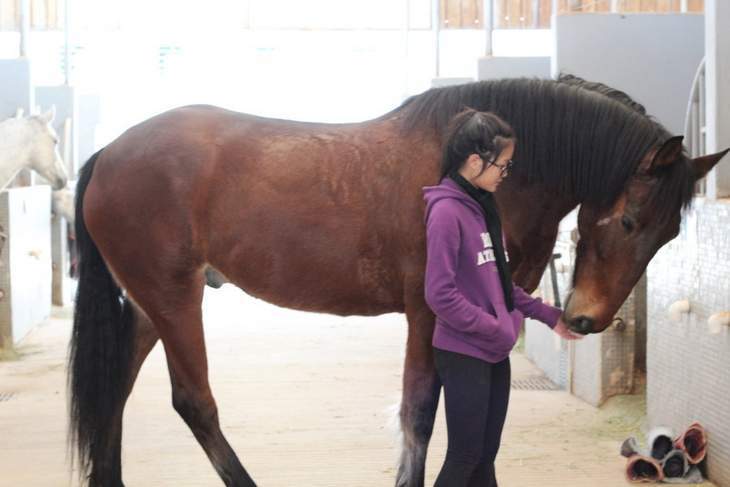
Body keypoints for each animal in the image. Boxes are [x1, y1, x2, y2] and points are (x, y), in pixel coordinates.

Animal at [68, 76, 728, 487]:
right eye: (628, 220)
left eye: (668, 234)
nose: (586, 319)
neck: (460, 175)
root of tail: (109, 152)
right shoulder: (427, 313)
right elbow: (420, 412)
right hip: (174, 299)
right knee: (194, 402)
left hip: (150, 307)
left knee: (113, 392)